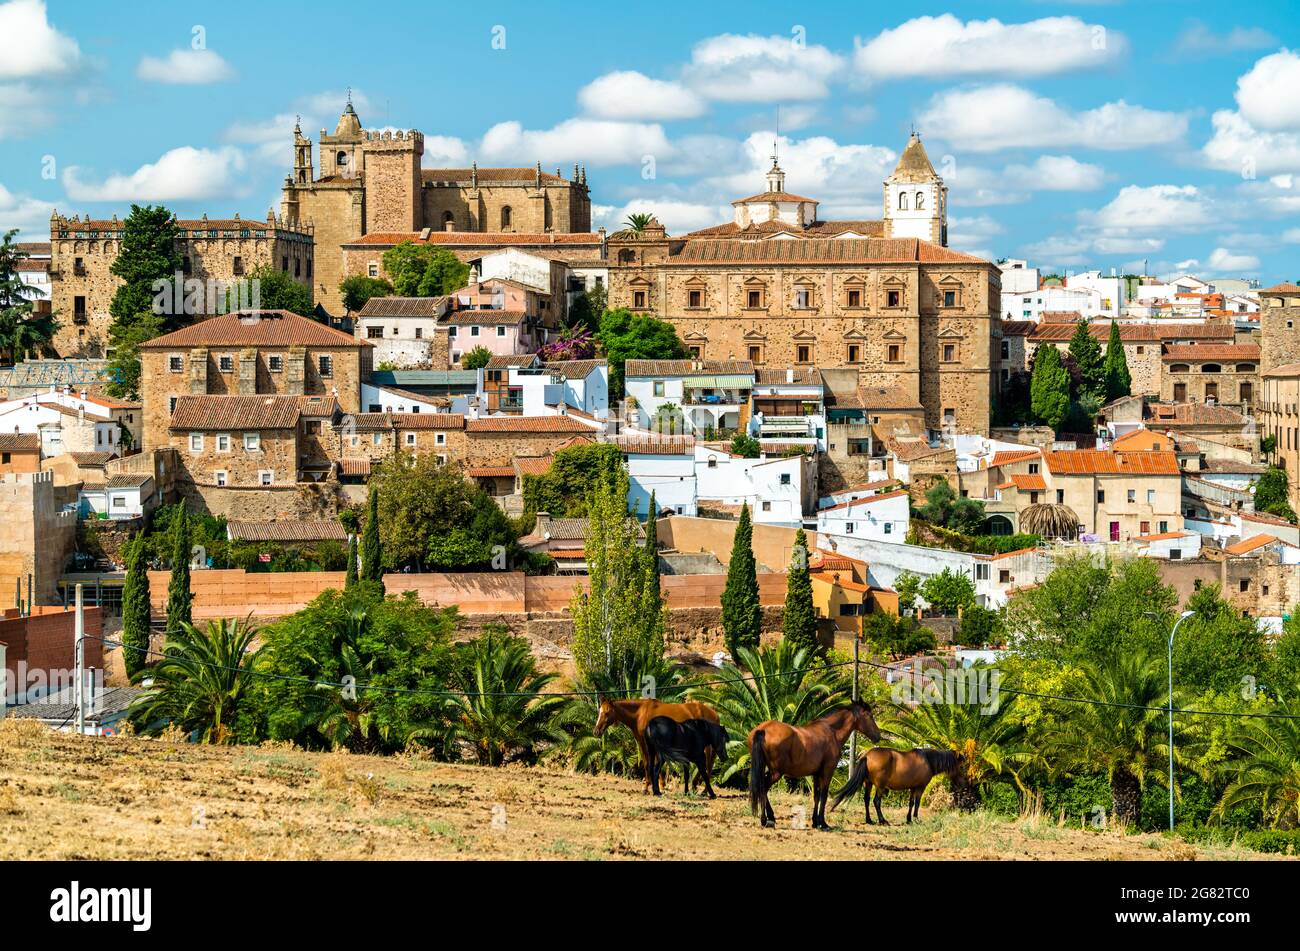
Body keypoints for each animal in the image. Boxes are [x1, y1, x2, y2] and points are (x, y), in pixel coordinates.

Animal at [748, 701, 878, 826]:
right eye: (869, 715)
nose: (878, 736)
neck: (832, 731)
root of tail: (763, 729)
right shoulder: (827, 772)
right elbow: (823, 796)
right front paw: (823, 823)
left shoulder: (816, 774)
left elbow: (816, 796)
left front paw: (815, 821)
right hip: (776, 773)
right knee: (763, 788)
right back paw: (765, 819)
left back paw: (769, 818)